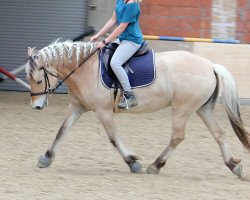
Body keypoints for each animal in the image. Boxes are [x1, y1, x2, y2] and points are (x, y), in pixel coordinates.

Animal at [24, 39, 250, 178]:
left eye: (37, 79)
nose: (36, 106)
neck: (85, 68)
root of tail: (211, 65)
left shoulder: (103, 111)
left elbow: (114, 138)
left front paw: (133, 162)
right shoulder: (77, 107)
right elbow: (62, 131)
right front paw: (46, 158)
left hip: (182, 108)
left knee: (177, 137)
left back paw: (155, 165)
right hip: (203, 108)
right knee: (219, 134)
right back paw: (233, 165)